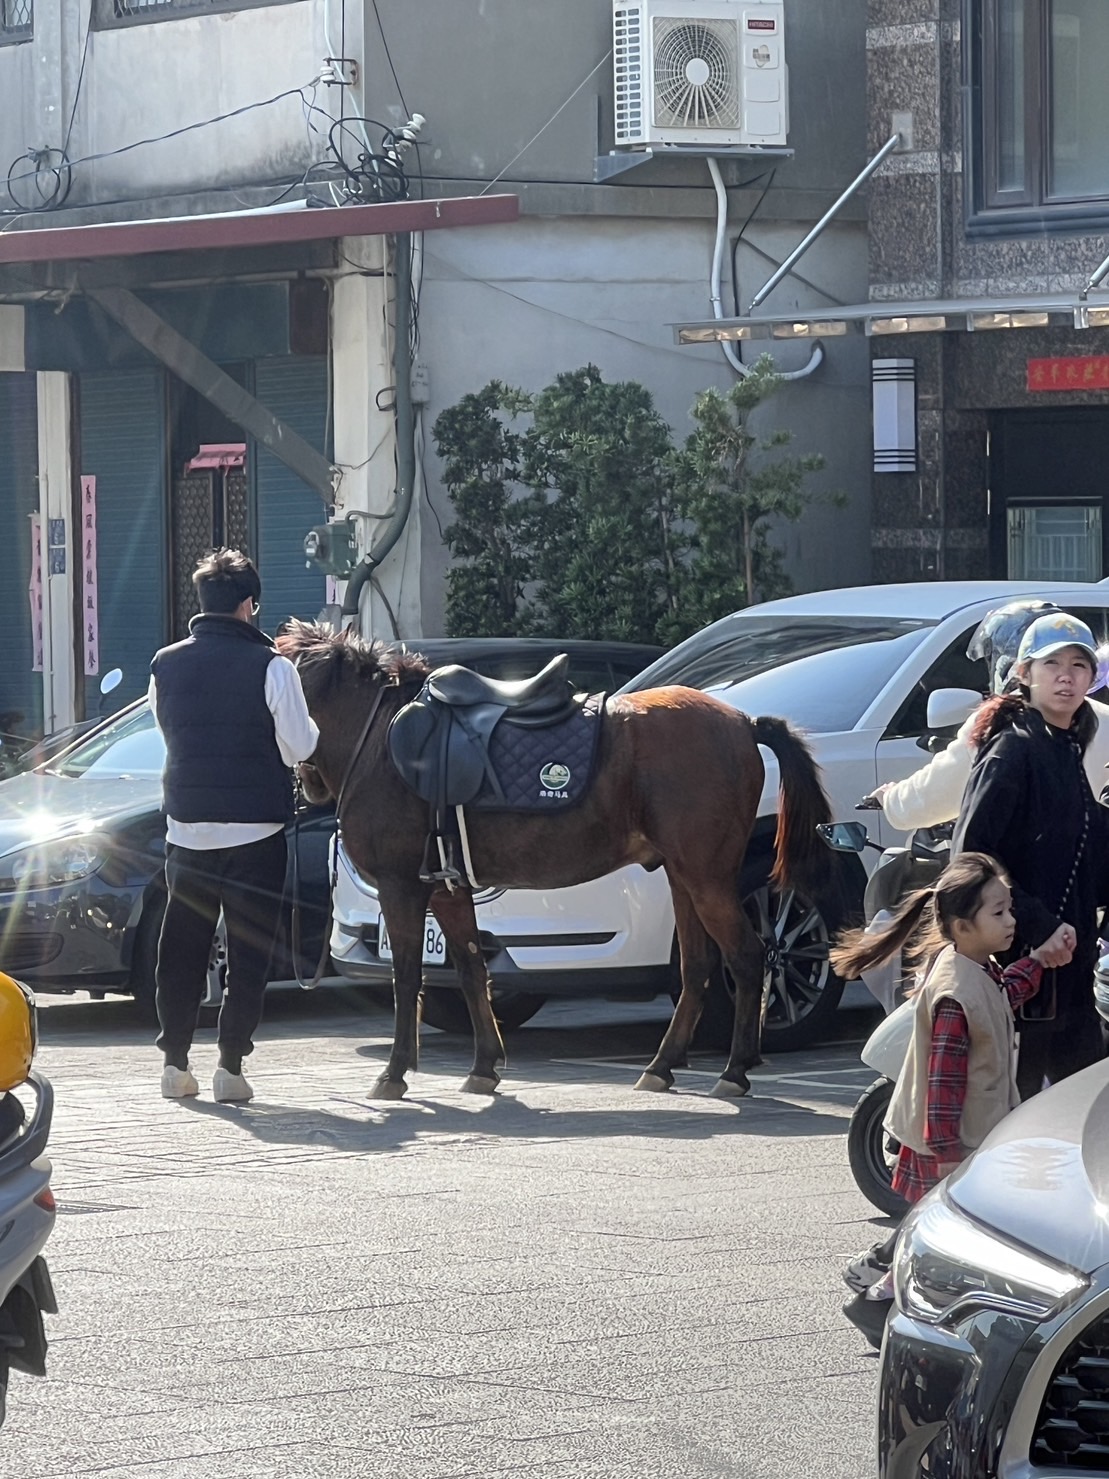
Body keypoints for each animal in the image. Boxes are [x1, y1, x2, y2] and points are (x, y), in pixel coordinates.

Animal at [279, 621, 833, 1100]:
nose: (306, 786)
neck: (379, 741)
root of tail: (742, 722)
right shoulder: (448, 890)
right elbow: (470, 970)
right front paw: (484, 1067)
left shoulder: (402, 888)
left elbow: (407, 978)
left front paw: (394, 1074)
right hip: (684, 878)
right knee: (698, 965)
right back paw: (662, 1066)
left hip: (708, 879)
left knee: (747, 956)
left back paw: (735, 1070)